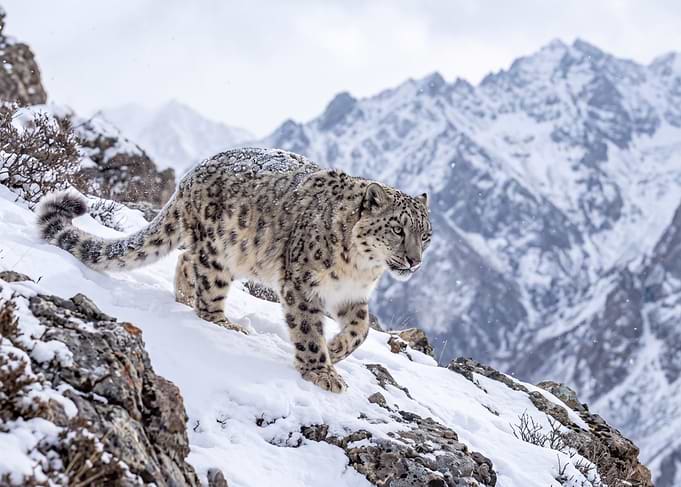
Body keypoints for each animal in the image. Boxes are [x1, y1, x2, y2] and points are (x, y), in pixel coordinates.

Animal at [37, 148, 432, 392]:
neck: (361, 269)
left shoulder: (351, 296)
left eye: (425, 234)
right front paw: (321, 371)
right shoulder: (303, 285)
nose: (415, 261)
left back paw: (184, 299)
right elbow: (307, 330)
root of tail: (190, 176)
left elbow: (361, 331)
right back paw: (221, 321)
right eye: (398, 229)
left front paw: (335, 350)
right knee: (206, 286)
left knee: (185, 260)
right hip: (219, 250)